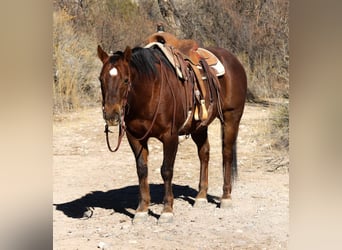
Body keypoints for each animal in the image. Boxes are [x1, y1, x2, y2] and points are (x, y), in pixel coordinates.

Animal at [96, 44, 246, 224]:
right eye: (101, 79)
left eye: (126, 79)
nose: (111, 115)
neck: (150, 91)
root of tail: (234, 59)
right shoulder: (135, 137)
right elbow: (142, 169)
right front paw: (142, 210)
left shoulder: (170, 136)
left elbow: (166, 170)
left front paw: (167, 211)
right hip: (199, 127)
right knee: (204, 154)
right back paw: (201, 196)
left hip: (231, 118)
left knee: (227, 154)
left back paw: (226, 198)